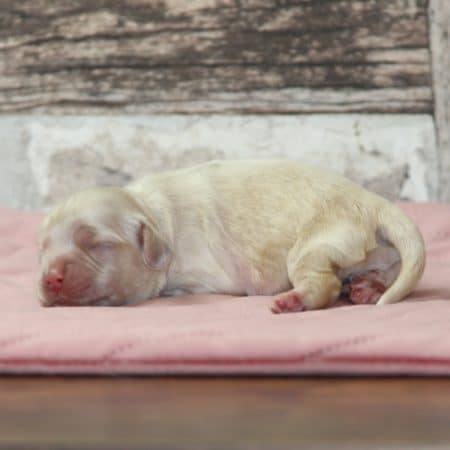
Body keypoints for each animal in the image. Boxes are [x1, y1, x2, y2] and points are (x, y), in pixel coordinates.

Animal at [36, 160, 426, 312]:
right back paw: (368, 287)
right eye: (42, 250)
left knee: (324, 284)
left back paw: (294, 299)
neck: (154, 213)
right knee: (391, 269)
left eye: (97, 244)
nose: (50, 278)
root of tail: (373, 201)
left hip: (317, 243)